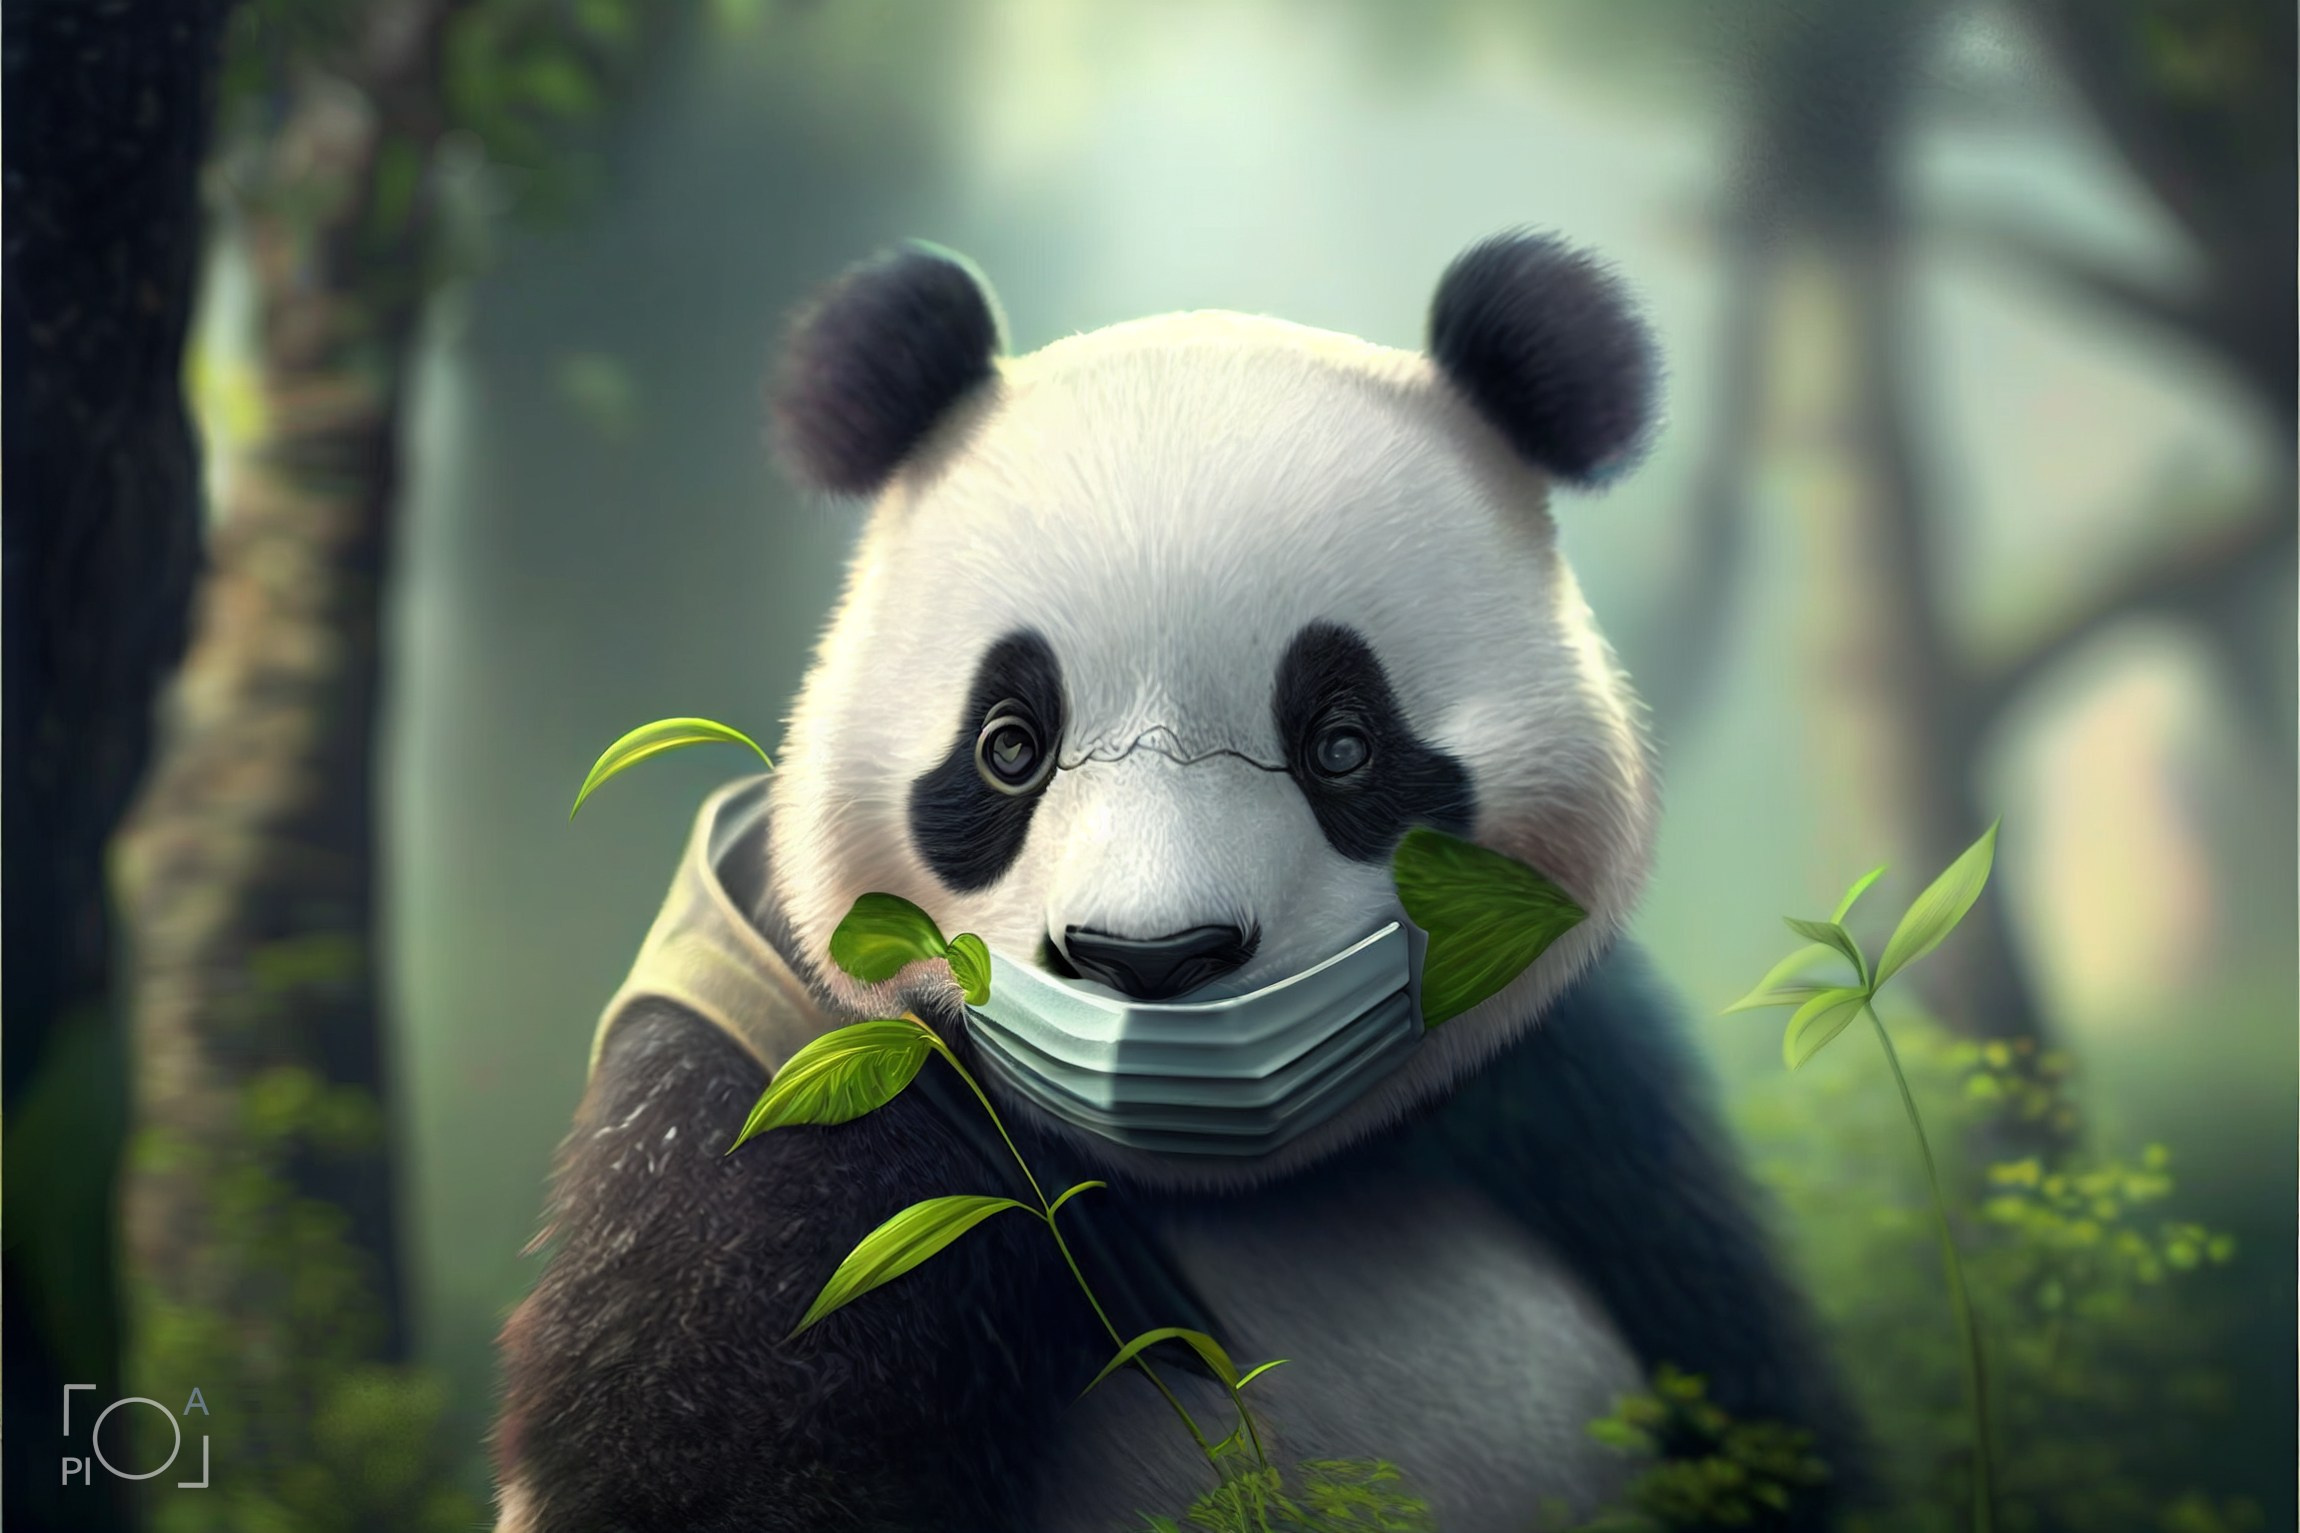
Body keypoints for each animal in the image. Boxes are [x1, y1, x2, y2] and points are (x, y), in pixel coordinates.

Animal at [492, 233, 1862, 1533]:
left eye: (1343, 743)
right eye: (1008, 746)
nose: (1147, 957)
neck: (1237, 1190)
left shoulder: (1584, 1095)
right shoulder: (792, 1104)